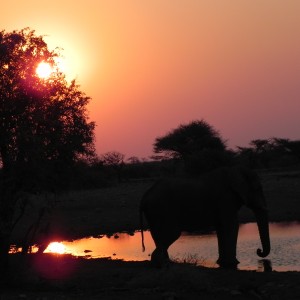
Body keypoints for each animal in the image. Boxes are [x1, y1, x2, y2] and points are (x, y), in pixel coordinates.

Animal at [139, 165, 270, 268]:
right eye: (258, 189)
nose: (258, 250)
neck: (235, 170)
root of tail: (145, 195)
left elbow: (221, 227)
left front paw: (222, 263)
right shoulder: (226, 199)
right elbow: (231, 225)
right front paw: (233, 263)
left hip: (154, 212)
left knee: (157, 235)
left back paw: (166, 262)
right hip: (161, 209)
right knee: (172, 233)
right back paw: (160, 263)